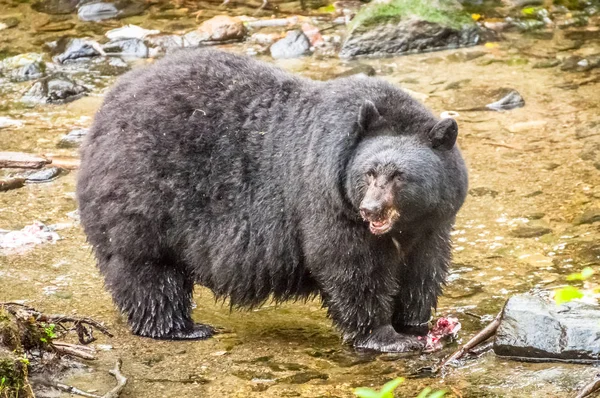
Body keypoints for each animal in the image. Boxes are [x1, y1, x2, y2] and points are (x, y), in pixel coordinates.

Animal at [76, 49, 468, 352]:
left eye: (399, 176)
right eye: (369, 173)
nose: (370, 209)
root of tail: (106, 109)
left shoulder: (432, 222)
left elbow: (423, 269)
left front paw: (417, 322)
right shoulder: (327, 201)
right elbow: (350, 266)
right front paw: (385, 336)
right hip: (143, 195)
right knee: (147, 268)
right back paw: (179, 328)